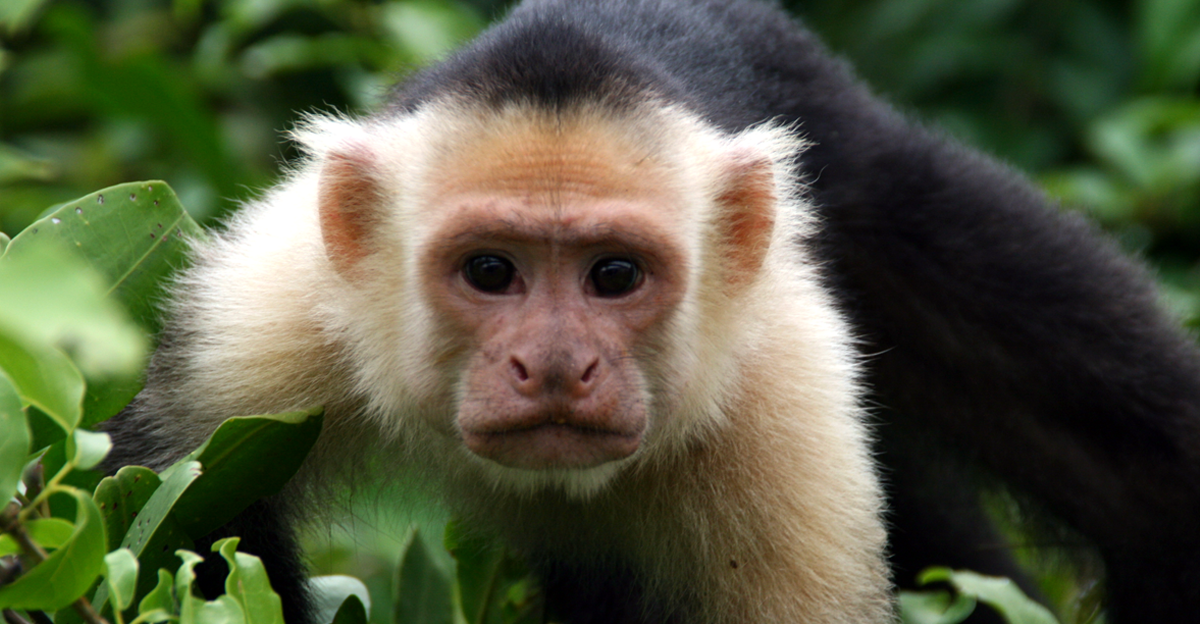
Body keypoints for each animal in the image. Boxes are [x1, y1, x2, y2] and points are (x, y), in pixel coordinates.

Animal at [101, 0, 1200, 623]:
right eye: (491, 271)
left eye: (615, 276)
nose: (554, 365)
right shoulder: (270, 314)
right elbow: (180, 520)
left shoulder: (783, 395)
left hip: (875, 174)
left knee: (1140, 473)